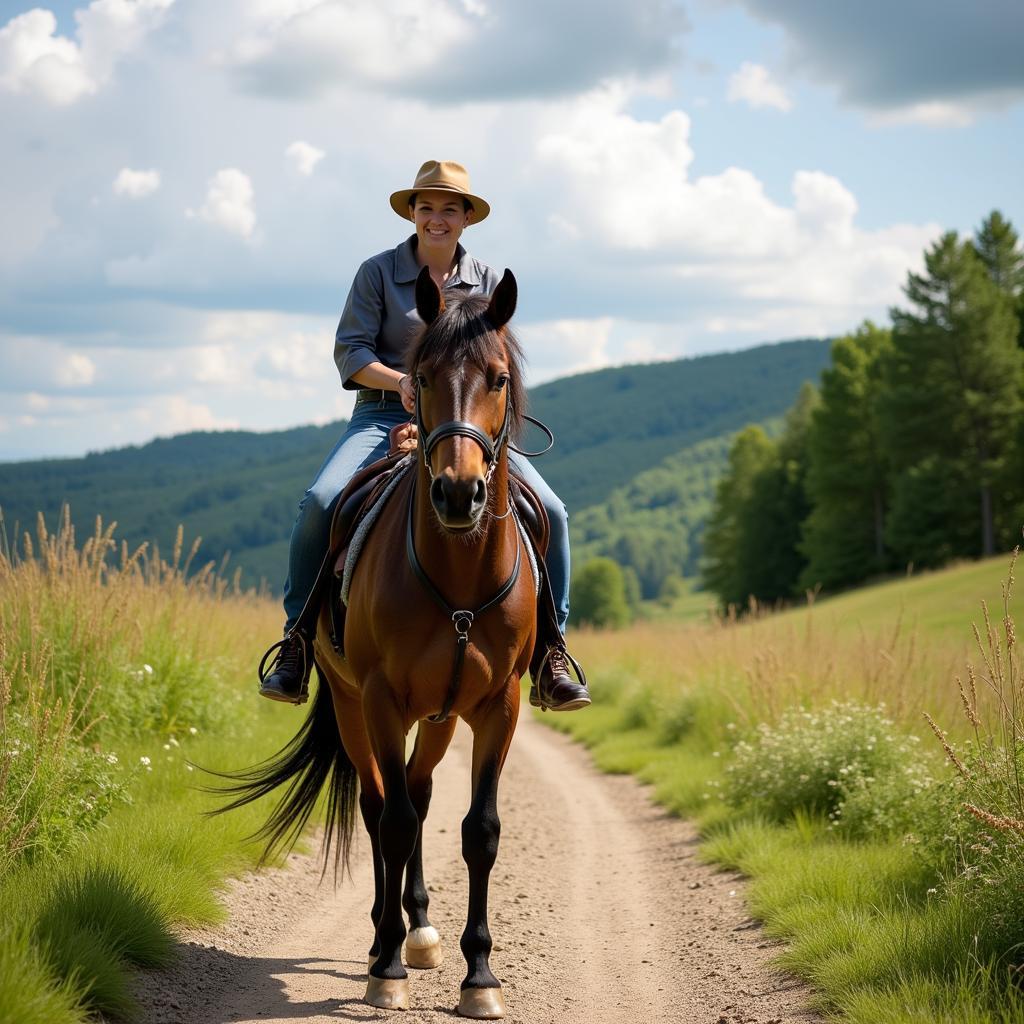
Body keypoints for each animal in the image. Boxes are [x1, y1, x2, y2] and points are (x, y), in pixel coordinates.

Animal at [216, 264, 536, 1015]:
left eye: (499, 378)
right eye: (419, 375)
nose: (458, 494)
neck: (456, 573)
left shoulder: (498, 706)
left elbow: (478, 831)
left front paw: (480, 976)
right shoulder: (383, 700)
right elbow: (390, 824)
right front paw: (386, 969)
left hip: (440, 717)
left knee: (418, 795)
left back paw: (420, 930)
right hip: (349, 703)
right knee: (381, 806)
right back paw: (383, 940)